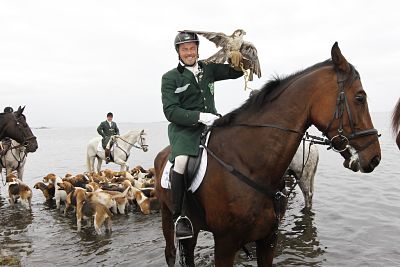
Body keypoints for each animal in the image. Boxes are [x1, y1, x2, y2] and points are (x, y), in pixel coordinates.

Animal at [153, 43, 382, 266]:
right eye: (360, 97)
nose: (375, 158)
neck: (248, 163)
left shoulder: (268, 239)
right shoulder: (225, 244)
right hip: (168, 215)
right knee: (171, 253)